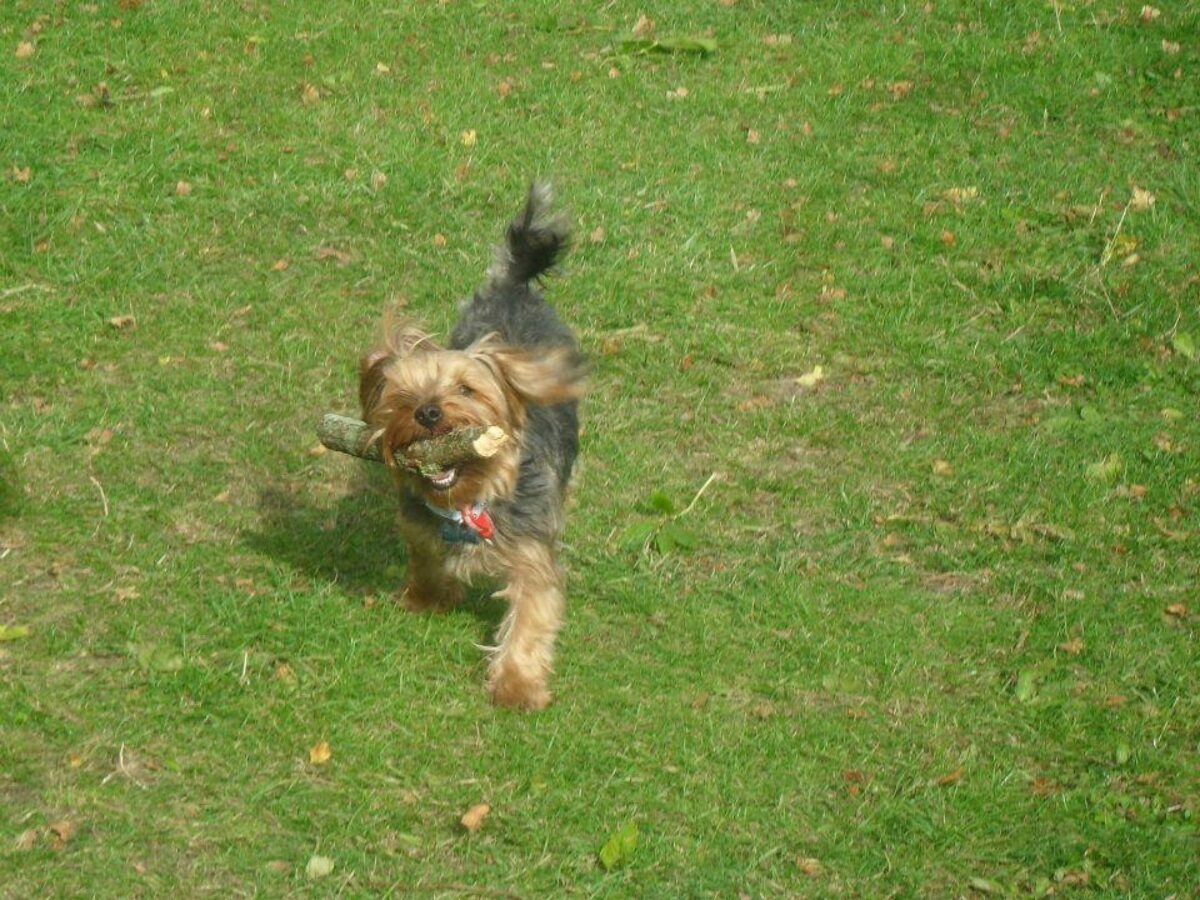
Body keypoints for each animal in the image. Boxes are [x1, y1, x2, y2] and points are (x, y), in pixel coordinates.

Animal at [357, 184, 588, 710]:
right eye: (403, 397)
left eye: (466, 389)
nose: (428, 413)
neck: (468, 501)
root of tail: (514, 288)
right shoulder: (419, 520)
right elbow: (423, 553)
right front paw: (425, 596)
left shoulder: (533, 554)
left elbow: (532, 617)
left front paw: (517, 685)